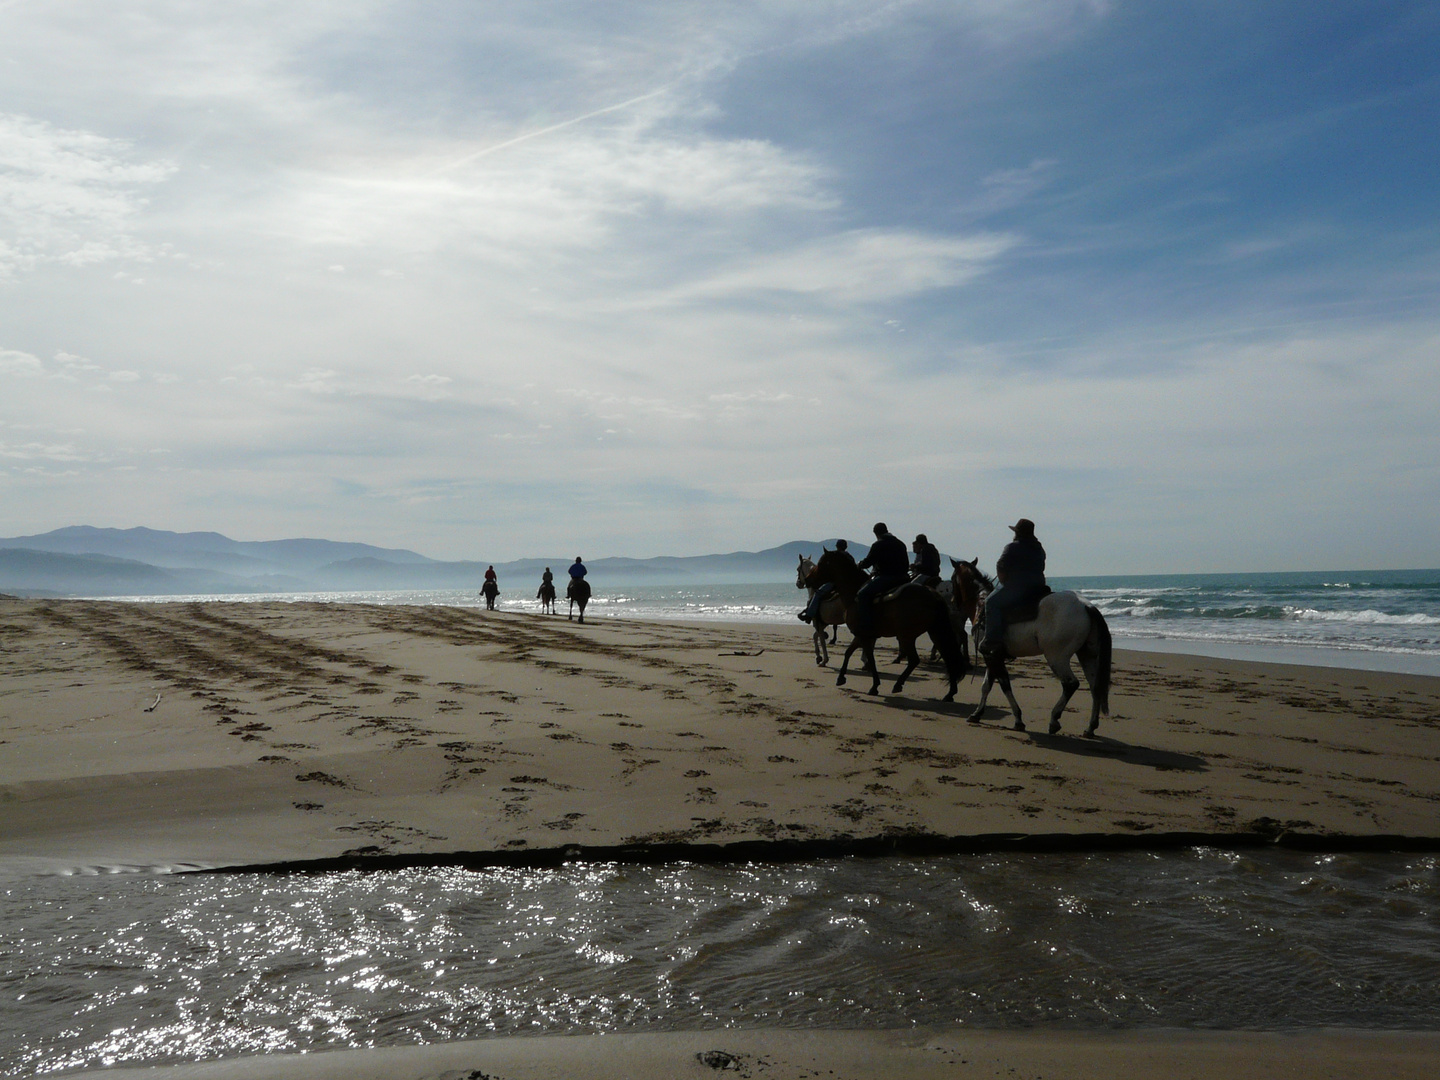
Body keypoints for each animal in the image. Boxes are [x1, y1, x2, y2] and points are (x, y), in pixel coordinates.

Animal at [806, 550, 961, 702]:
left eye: (821, 563)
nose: (808, 580)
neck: (854, 593)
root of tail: (933, 595)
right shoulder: (862, 635)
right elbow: (849, 652)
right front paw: (841, 678)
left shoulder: (863, 635)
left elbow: (869, 658)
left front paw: (874, 686)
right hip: (935, 632)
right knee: (948, 657)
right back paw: (950, 693)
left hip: (907, 636)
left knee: (914, 660)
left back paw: (898, 684)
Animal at [967, 567, 1111, 737]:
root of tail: (1087, 606)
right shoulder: (993, 656)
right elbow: (986, 686)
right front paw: (977, 714)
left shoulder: (990, 655)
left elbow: (1004, 685)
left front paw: (1018, 720)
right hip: (1087, 655)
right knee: (1095, 687)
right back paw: (1090, 727)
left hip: (1056, 656)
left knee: (1070, 684)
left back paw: (1054, 720)